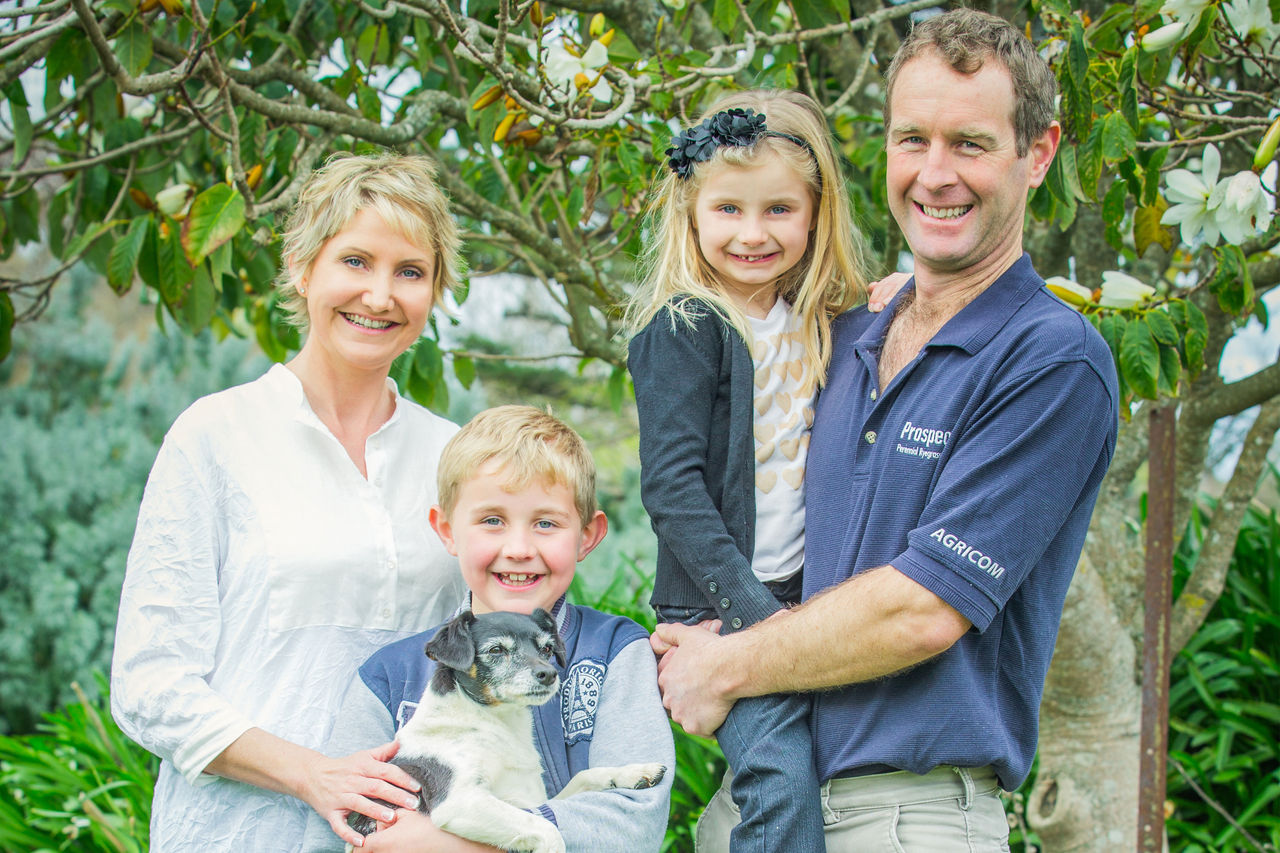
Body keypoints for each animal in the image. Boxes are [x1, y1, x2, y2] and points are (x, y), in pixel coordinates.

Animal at [350, 604, 670, 850]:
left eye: (547, 648)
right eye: (495, 650)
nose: (549, 674)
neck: (496, 724)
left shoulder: (533, 798)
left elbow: (585, 776)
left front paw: (632, 772)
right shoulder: (460, 801)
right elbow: (546, 828)